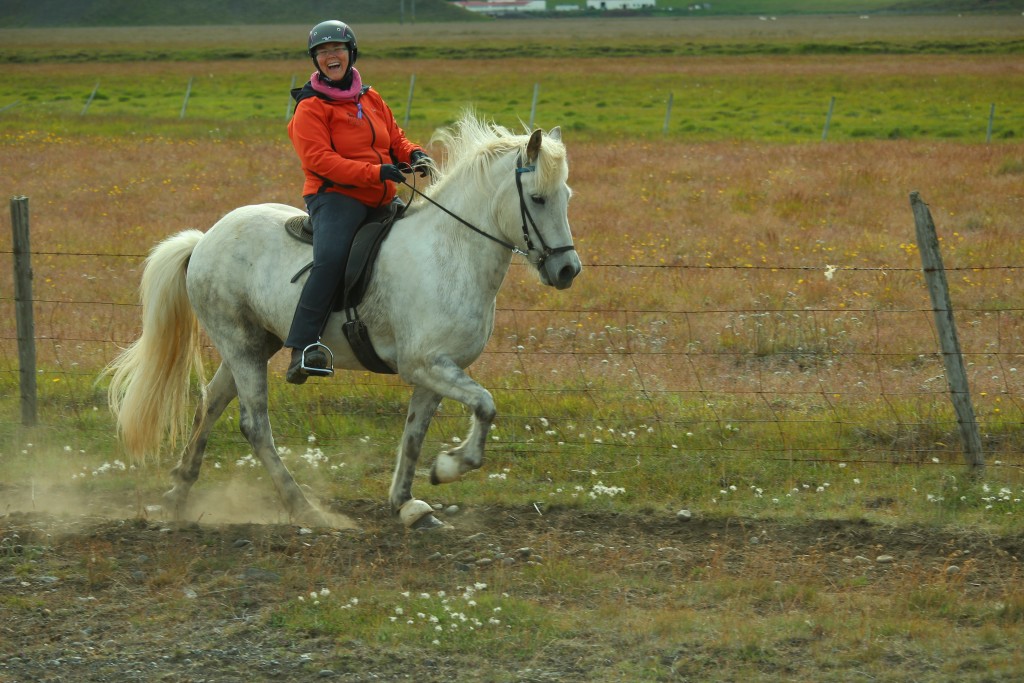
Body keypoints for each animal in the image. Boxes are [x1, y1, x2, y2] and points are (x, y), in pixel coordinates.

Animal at [107, 113, 585, 528]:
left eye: (566, 197)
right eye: (538, 198)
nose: (567, 271)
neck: (450, 252)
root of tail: (205, 238)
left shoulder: (438, 373)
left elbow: (414, 435)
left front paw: (408, 504)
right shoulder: (425, 365)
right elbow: (485, 405)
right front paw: (448, 467)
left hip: (254, 343)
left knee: (211, 403)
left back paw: (178, 494)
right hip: (241, 345)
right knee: (254, 425)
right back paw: (304, 508)